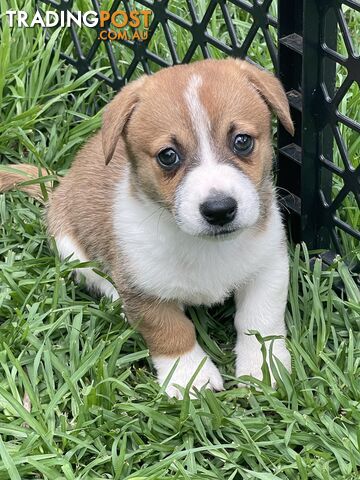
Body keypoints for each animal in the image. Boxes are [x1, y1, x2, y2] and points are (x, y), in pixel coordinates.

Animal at [1, 59, 292, 398]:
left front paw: (263, 366)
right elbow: (171, 331)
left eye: (242, 141)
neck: (203, 246)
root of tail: (60, 184)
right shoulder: (144, 290)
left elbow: (259, 321)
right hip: (70, 248)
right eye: (168, 156)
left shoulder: (268, 267)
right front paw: (190, 376)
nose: (219, 210)